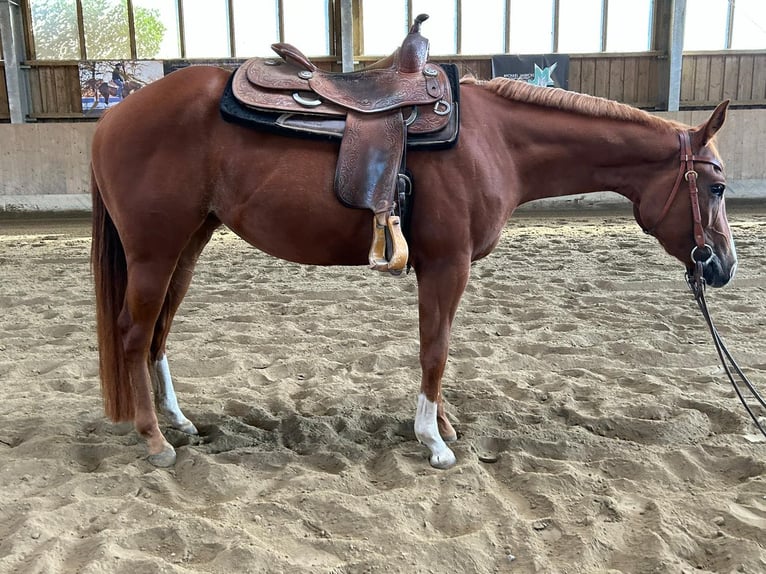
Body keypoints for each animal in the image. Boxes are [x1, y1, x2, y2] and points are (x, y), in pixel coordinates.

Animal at [90, 65, 736, 470]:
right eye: (717, 186)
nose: (724, 266)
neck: (494, 140)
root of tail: (113, 119)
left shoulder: (442, 268)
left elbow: (438, 345)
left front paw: (443, 426)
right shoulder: (448, 265)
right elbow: (436, 349)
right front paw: (434, 442)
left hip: (187, 245)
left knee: (158, 333)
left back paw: (179, 422)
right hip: (155, 251)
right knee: (133, 334)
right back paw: (155, 440)